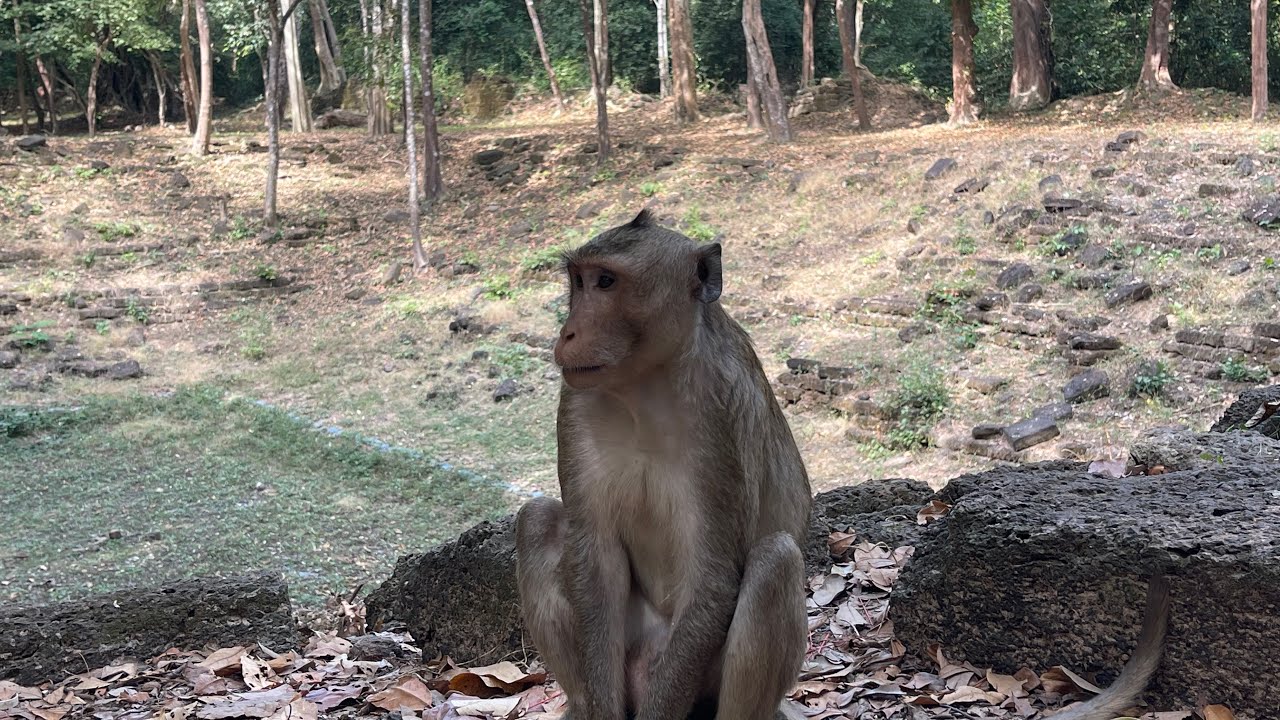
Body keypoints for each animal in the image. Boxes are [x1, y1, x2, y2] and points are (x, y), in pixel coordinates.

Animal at [515, 209, 812, 720]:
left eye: (607, 281)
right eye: (579, 281)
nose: (568, 333)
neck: (646, 386)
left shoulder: (721, 413)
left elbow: (713, 580)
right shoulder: (575, 400)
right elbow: (595, 556)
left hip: (699, 678)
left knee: (775, 560)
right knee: (536, 520)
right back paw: (579, 704)